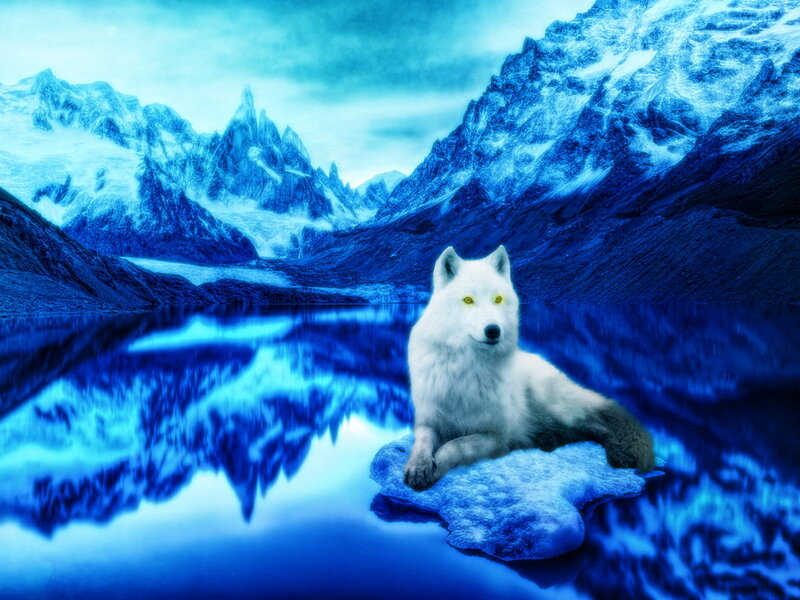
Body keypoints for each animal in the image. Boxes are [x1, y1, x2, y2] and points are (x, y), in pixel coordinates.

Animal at [403, 245, 654, 490]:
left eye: (497, 299)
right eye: (467, 300)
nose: (493, 330)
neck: (465, 367)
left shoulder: (496, 436)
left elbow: (455, 445)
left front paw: (437, 466)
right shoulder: (428, 422)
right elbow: (422, 444)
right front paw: (418, 466)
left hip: (555, 406)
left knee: (598, 425)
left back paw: (618, 452)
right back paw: (548, 438)